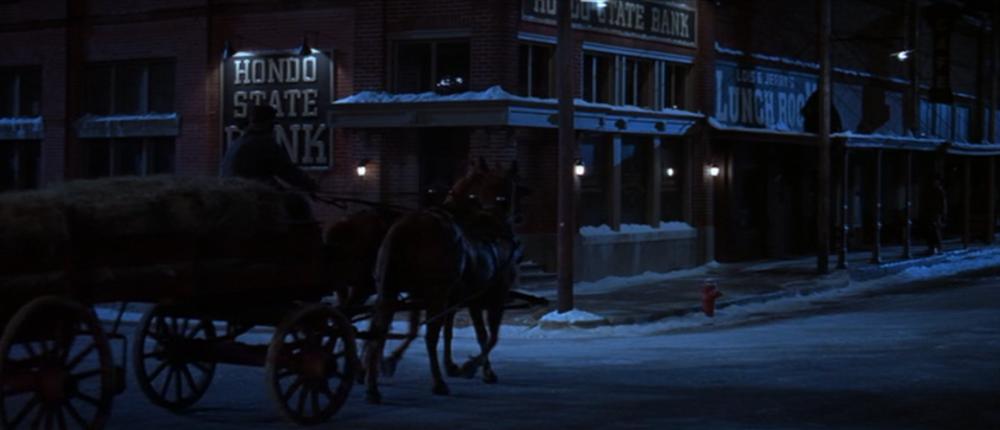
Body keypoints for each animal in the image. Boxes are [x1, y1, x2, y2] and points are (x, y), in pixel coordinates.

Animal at [366, 158, 524, 404]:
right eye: (513, 186)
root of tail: (404, 229)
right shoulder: (493, 296)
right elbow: (490, 337)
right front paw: (475, 368)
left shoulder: (457, 298)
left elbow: (451, 332)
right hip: (436, 294)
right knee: (430, 336)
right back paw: (438, 383)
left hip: (389, 291)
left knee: (377, 332)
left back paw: (373, 387)